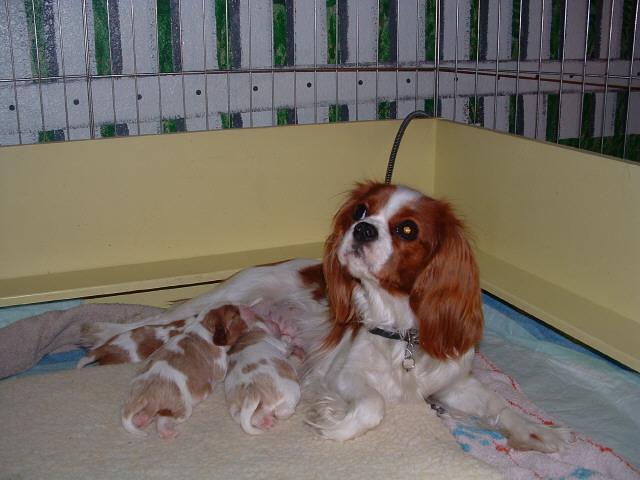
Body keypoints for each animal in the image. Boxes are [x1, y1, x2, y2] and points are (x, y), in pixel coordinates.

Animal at [91, 182, 571, 452]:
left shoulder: (452, 382)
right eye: (361, 211)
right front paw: (334, 428)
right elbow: (374, 405)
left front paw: (538, 433)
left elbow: (496, 403)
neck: (400, 330)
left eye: (408, 229)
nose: (362, 228)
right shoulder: (342, 374)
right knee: (150, 323)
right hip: (224, 297)